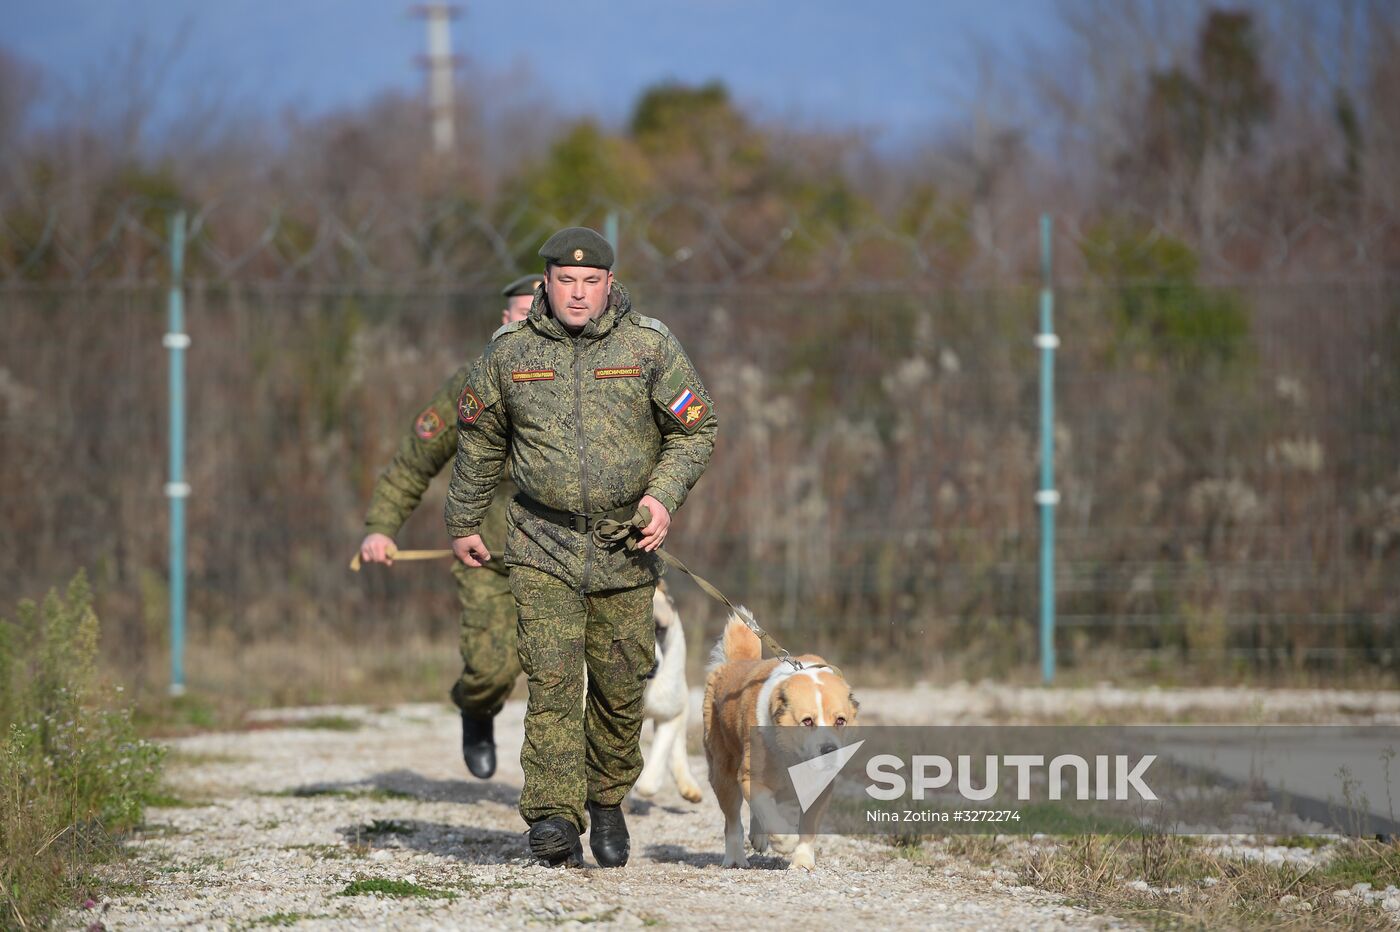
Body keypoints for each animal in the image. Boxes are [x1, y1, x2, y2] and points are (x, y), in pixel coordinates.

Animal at [700, 607, 851, 867]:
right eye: (807, 721)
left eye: (840, 720)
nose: (830, 750)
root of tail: (736, 662)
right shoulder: (750, 777)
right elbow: (767, 810)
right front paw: (785, 841)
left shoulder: (822, 786)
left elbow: (808, 824)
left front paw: (802, 861)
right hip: (723, 771)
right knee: (732, 821)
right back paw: (736, 858)